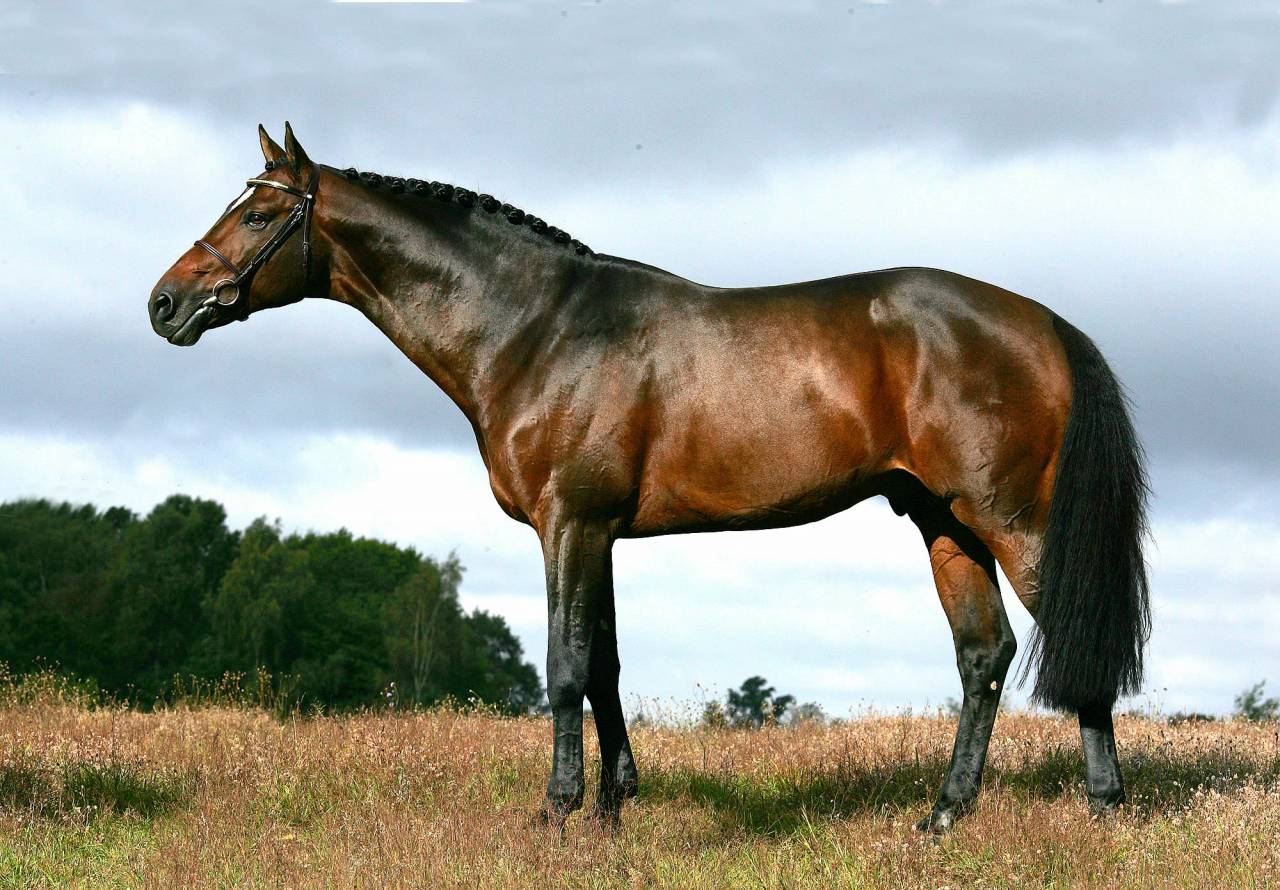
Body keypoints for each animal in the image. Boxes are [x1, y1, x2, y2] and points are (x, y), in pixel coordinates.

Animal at [148, 124, 1150, 833]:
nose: (165, 303)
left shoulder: (569, 522)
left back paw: (1106, 806)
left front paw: (557, 813)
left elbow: (564, 666)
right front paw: (612, 806)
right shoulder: (599, 534)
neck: (537, 327)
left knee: (1072, 637)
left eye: (256, 214)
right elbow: (605, 664)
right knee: (983, 657)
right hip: (942, 520)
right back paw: (943, 816)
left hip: (1012, 518)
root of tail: (1045, 322)